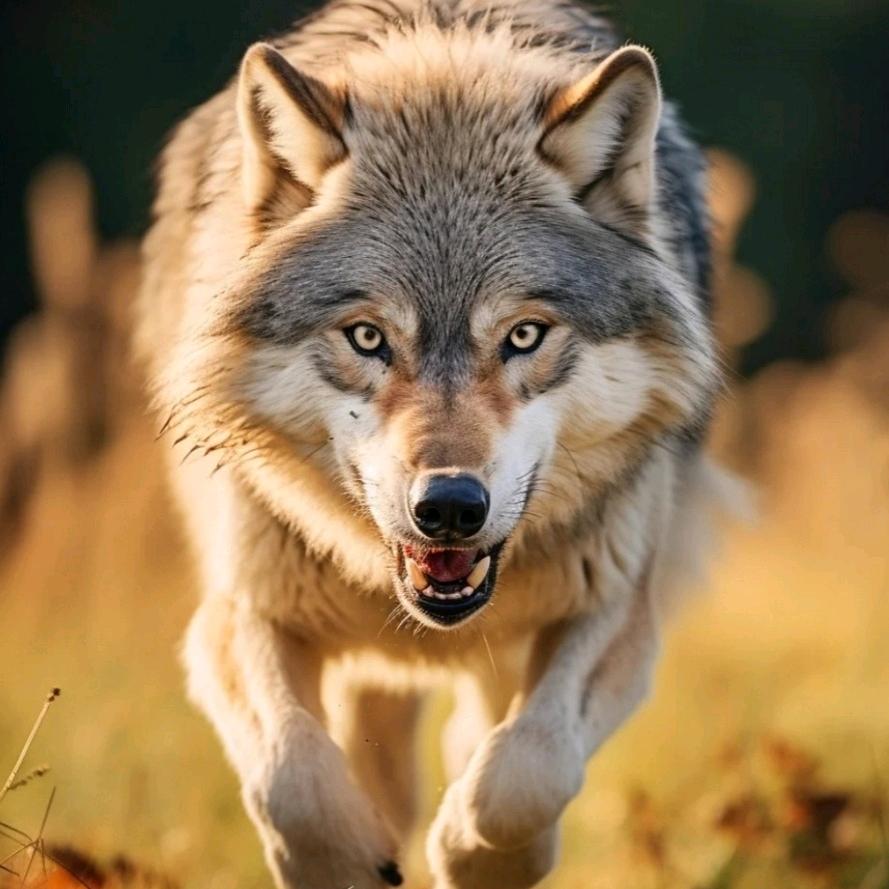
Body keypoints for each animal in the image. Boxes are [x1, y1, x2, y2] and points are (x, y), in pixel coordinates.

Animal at [137, 0, 732, 886]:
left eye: (523, 335)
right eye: (367, 336)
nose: (448, 507)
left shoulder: (615, 607)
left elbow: (527, 770)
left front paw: (478, 854)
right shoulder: (241, 612)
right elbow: (291, 775)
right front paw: (346, 861)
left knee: (473, 740)